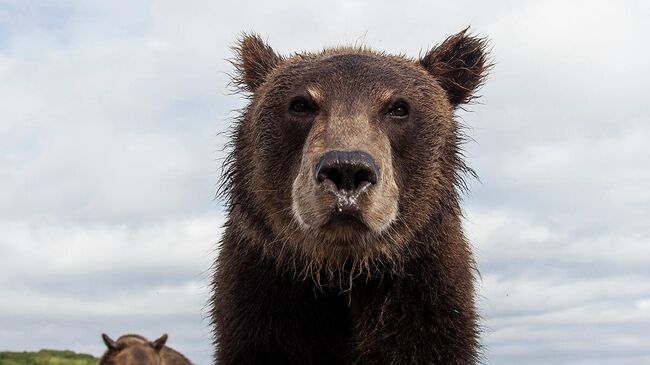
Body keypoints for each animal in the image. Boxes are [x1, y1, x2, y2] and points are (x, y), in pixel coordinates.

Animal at [210, 29, 488, 364]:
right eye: (301, 104)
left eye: (398, 107)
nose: (347, 170)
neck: (344, 271)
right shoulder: (262, 298)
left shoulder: (426, 299)